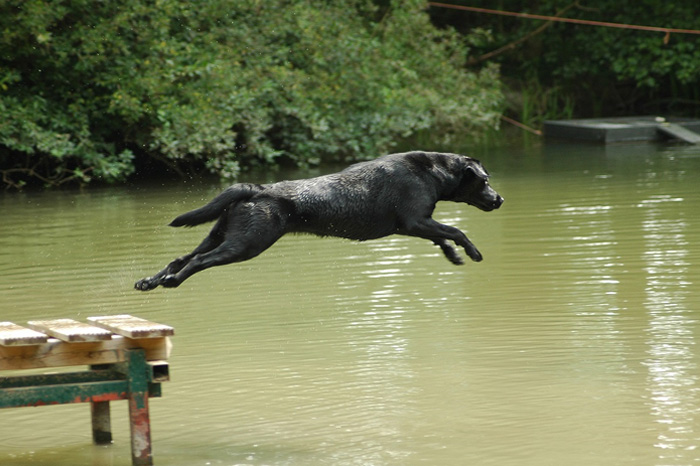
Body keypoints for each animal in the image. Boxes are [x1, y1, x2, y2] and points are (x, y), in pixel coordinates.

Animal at [134, 152, 504, 292]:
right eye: (485, 181)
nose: (499, 199)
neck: (433, 172)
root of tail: (255, 188)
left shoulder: (412, 226)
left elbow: (442, 237)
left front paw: (453, 256)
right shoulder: (416, 221)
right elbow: (456, 230)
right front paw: (473, 253)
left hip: (221, 233)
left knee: (180, 257)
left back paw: (149, 282)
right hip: (246, 243)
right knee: (197, 261)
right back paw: (172, 282)